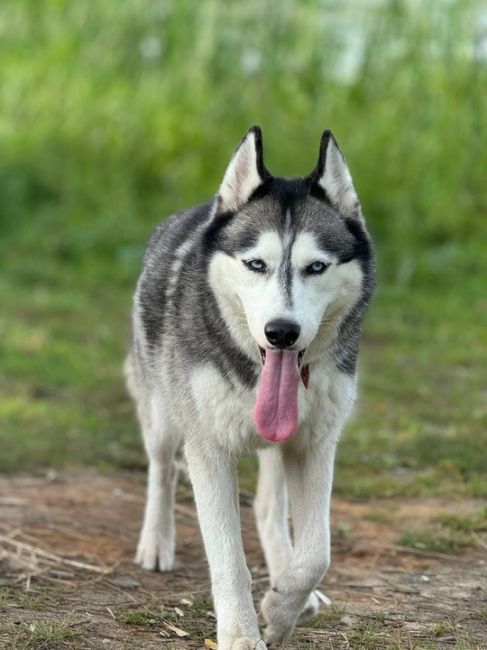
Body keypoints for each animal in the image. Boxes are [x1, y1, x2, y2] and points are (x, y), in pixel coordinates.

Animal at [126, 124, 378, 644]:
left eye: (316, 267)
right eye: (256, 264)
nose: (281, 332)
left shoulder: (315, 444)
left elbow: (317, 552)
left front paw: (281, 608)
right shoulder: (209, 451)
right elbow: (228, 561)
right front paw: (241, 635)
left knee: (269, 509)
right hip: (162, 415)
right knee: (161, 468)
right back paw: (156, 542)